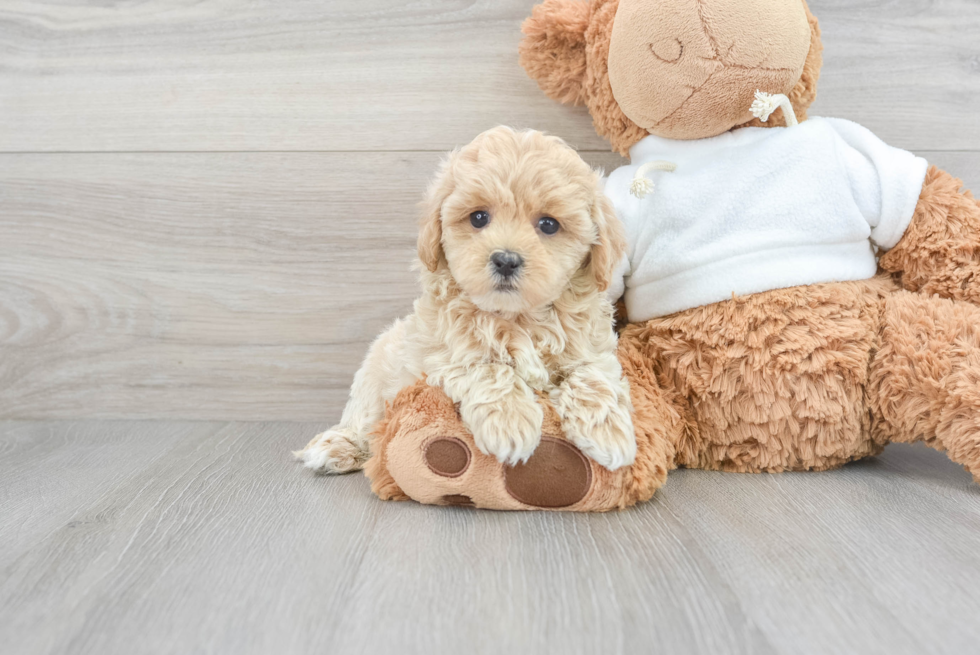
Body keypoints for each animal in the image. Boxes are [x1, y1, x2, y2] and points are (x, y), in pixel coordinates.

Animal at [296, 125, 636, 474]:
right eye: (478, 218)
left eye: (549, 224)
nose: (505, 260)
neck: (519, 317)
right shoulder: (443, 350)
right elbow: (487, 366)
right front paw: (509, 424)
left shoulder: (591, 348)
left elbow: (592, 374)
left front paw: (609, 432)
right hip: (376, 370)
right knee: (364, 419)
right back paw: (338, 446)